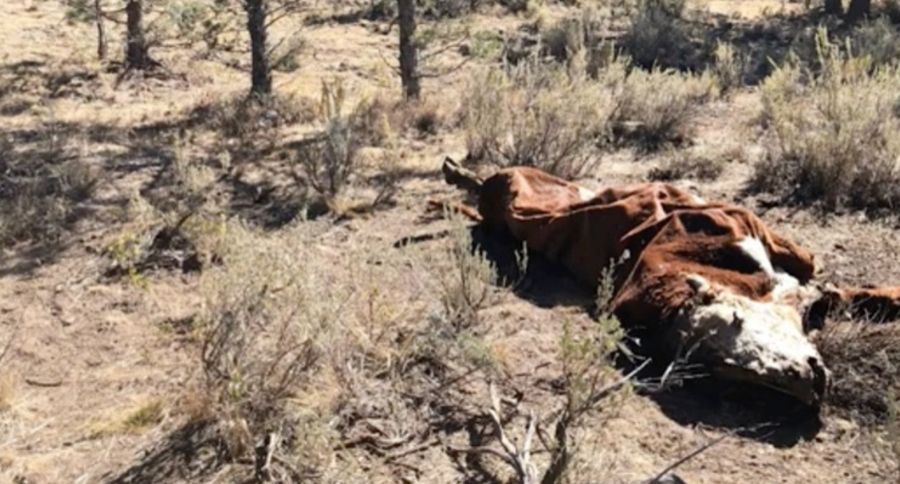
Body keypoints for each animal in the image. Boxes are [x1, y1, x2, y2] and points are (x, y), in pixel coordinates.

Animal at [439, 157, 900, 406]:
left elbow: (828, 282)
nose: (808, 384)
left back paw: (457, 173)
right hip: (518, 193)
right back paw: (457, 174)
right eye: (728, 366)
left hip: (540, 186)